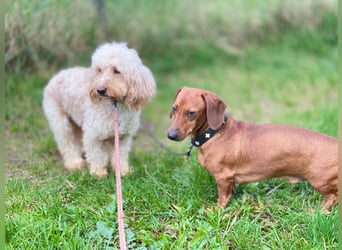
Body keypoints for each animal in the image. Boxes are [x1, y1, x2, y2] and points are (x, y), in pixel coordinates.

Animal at [42, 42, 156, 177]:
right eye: (99, 70)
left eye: (117, 71)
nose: (100, 90)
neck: (114, 105)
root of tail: (56, 76)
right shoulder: (93, 135)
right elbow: (97, 155)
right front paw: (98, 173)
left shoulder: (123, 137)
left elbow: (120, 156)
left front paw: (123, 171)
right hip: (60, 122)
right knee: (67, 142)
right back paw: (74, 163)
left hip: (76, 121)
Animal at [167, 86, 338, 211]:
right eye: (174, 108)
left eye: (191, 113)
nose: (170, 135)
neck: (214, 134)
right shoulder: (230, 180)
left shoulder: (223, 178)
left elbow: (222, 198)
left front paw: (216, 210)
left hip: (320, 181)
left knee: (333, 197)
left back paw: (319, 211)